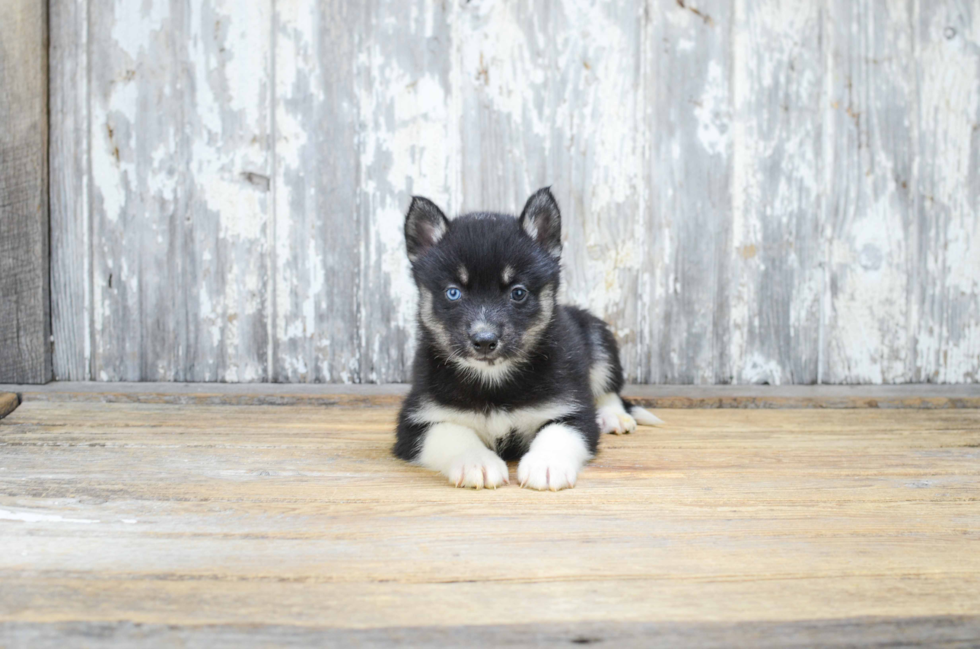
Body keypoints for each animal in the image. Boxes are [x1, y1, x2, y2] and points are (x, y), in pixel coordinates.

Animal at [394, 187, 664, 492]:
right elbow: (454, 433)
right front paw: (477, 462)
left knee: (608, 390)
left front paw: (546, 464)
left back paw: (613, 415)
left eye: (518, 293)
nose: (484, 341)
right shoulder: (415, 423)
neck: (494, 381)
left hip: (598, 338)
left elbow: (558, 432)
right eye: (453, 293)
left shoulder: (574, 410)